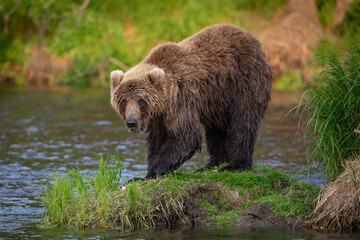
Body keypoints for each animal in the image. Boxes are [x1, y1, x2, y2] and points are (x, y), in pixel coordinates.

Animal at [111, 24, 272, 178]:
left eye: (140, 100)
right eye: (124, 101)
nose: (132, 122)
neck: (165, 100)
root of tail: (252, 38)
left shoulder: (181, 100)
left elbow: (187, 137)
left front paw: (147, 174)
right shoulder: (158, 116)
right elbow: (157, 140)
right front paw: (149, 170)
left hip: (244, 82)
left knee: (243, 121)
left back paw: (235, 165)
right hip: (216, 101)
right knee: (216, 130)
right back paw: (211, 165)